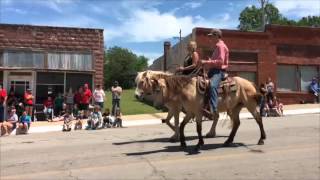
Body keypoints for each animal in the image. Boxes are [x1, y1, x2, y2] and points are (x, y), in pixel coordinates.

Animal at [136, 70, 266, 150]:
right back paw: (227, 141)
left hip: (250, 105)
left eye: (158, 90)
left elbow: (196, 128)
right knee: (236, 123)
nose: (156, 105)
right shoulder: (189, 112)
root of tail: (250, 83)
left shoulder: (192, 111)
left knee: (258, 119)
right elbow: (180, 125)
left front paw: (198, 144)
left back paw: (261, 139)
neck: (188, 89)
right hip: (234, 108)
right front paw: (182, 142)